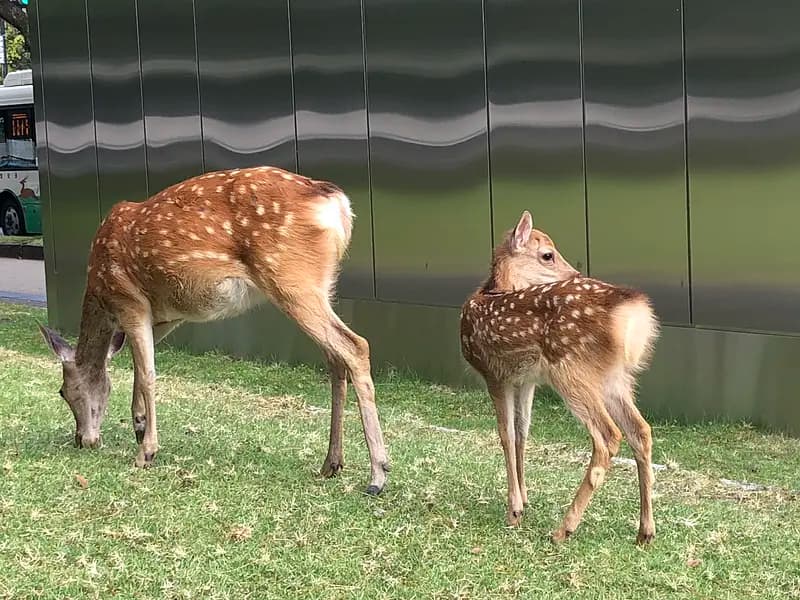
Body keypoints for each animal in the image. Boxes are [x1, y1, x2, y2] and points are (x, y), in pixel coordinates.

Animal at [38, 165, 390, 495]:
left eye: (63, 391)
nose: (82, 440)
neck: (100, 296)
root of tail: (336, 202)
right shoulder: (164, 316)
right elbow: (139, 368)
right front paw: (138, 425)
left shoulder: (130, 301)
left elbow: (149, 374)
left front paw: (146, 452)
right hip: (322, 285)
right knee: (335, 358)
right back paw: (331, 463)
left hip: (291, 277)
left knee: (355, 346)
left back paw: (377, 475)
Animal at [460, 211, 659, 544]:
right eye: (547, 255)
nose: (574, 274)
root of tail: (632, 316)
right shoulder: (524, 380)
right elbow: (522, 431)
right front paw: (525, 498)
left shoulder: (494, 373)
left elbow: (504, 434)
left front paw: (514, 510)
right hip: (613, 379)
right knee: (641, 431)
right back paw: (645, 531)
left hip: (570, 369)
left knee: (608, 436)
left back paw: (563, 529)